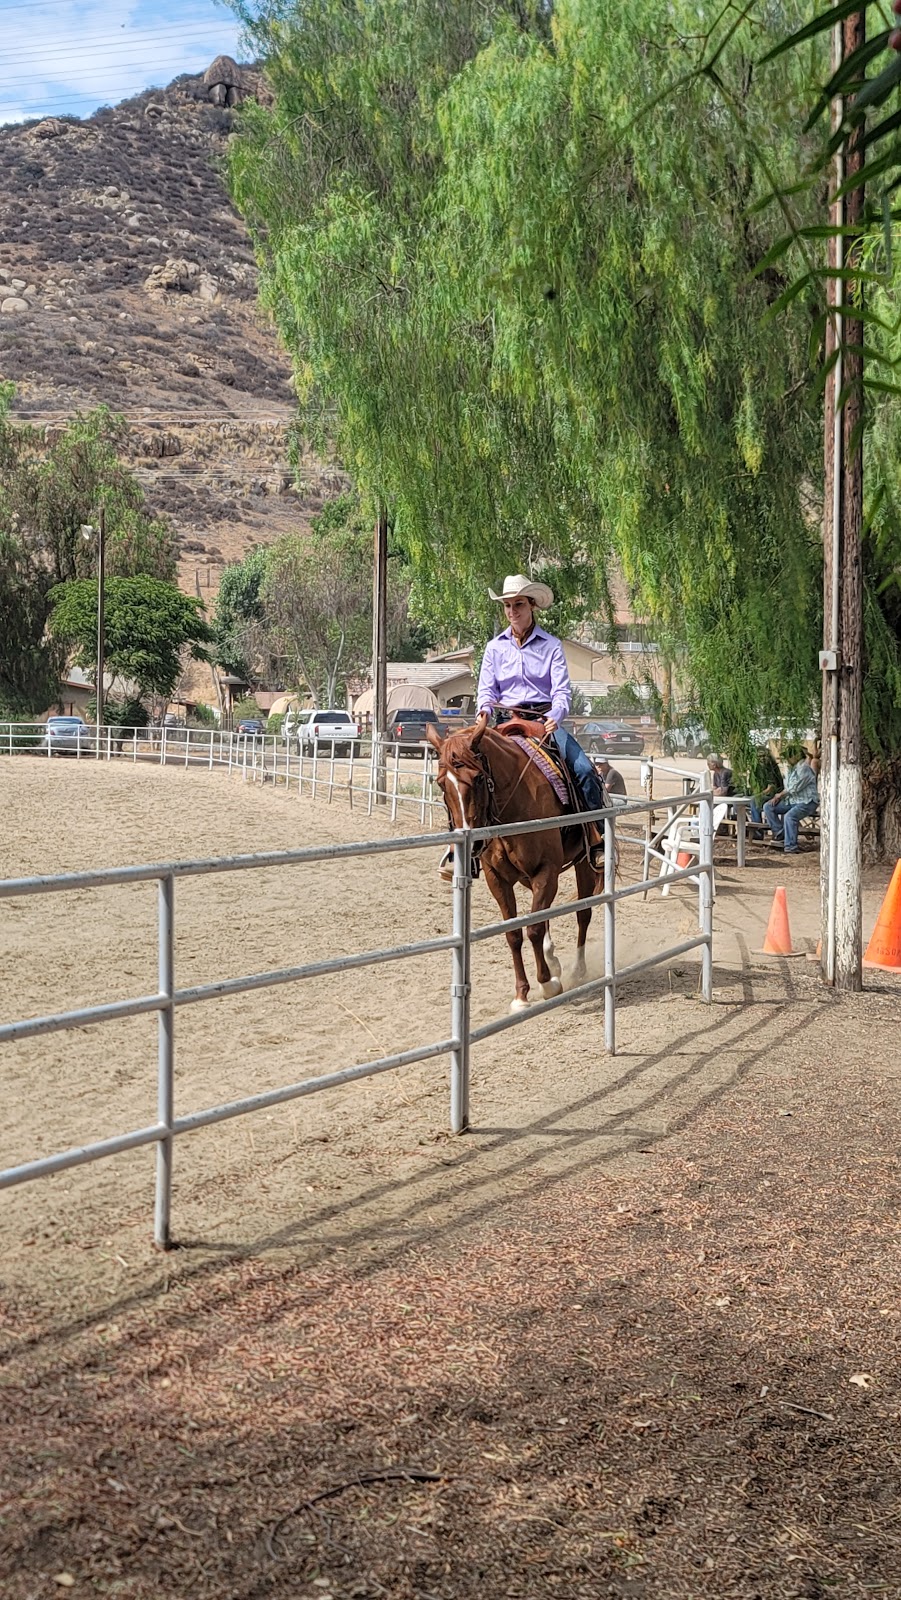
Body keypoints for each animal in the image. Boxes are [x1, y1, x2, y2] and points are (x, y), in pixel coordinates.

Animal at [428, 723, 601, 1011]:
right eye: (441, 783)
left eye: (478, 778)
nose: (472, 845)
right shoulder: (497, 879)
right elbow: (514, 933)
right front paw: (521, 995)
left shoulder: (546, 871)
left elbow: (534, 928)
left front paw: (547, 984)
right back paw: (553, 961)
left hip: (584, 864)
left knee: (583, 914)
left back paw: (577, 969)